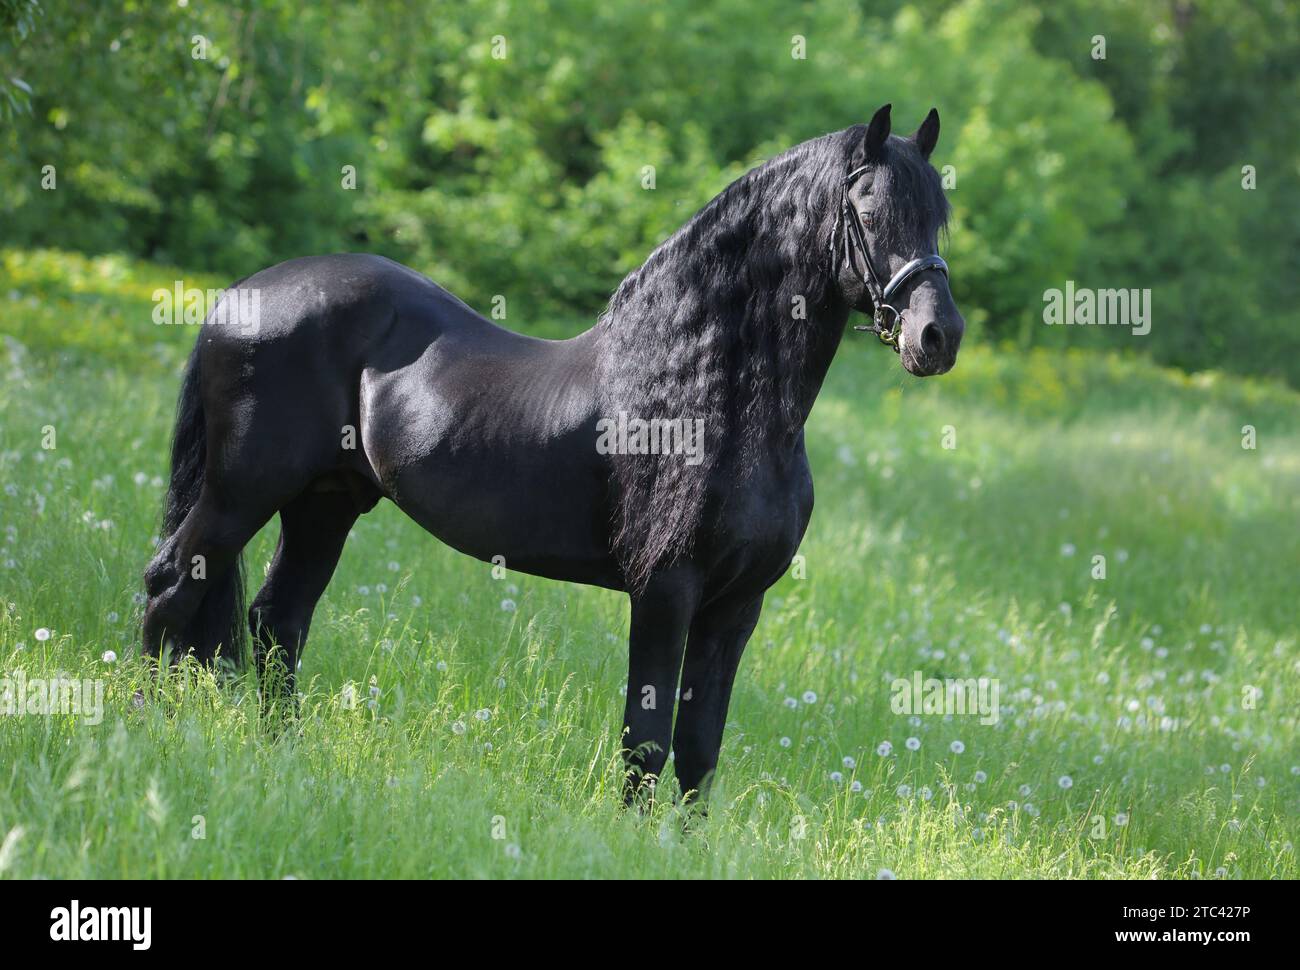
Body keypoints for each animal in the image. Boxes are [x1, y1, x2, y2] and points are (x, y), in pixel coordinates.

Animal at [144, 104, 967, 800]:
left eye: (939, 219)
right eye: (868, 212)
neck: (707, 395)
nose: (938, 336)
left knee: (277, 623)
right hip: (240, 494)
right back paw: (148, 728)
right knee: (171, 589)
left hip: (325, 504)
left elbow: (699, 752)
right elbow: (646, 743)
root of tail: (242, 293)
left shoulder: (738, 605)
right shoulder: (665, 592)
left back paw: (279, 758)